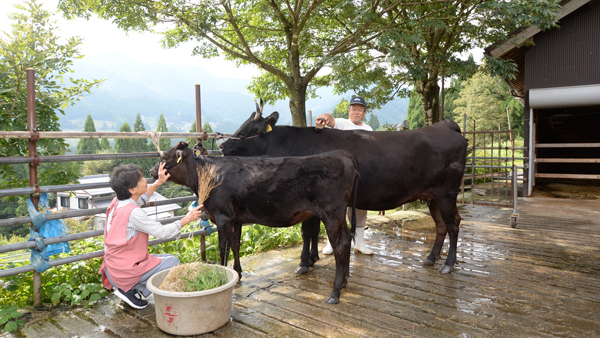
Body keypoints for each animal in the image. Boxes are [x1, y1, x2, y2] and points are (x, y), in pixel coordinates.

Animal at [151, 140, 360, 304]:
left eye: (165, 157)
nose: (153, 171)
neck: (208, 174)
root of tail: (341, 154)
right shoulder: (235, 220)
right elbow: (235, 246)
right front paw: (237, 274)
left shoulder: (222, 217)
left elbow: (223, 249)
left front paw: (223, 275)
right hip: (339, 214)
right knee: (347, 239)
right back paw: (345, 281)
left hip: (331, 213)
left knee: (340, 245)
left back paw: (334, 293)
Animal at [220, 104, 468, 274]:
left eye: (244, 132)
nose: (223, 146)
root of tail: (444, 126)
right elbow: (313, 232)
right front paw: (313, 258)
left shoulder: (307, 200)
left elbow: (307, 231)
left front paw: (303, 264)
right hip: (432, 196)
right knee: (440, 225)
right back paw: (431, 258)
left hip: (447, 193)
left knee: (453, 223)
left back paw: (448, 264)